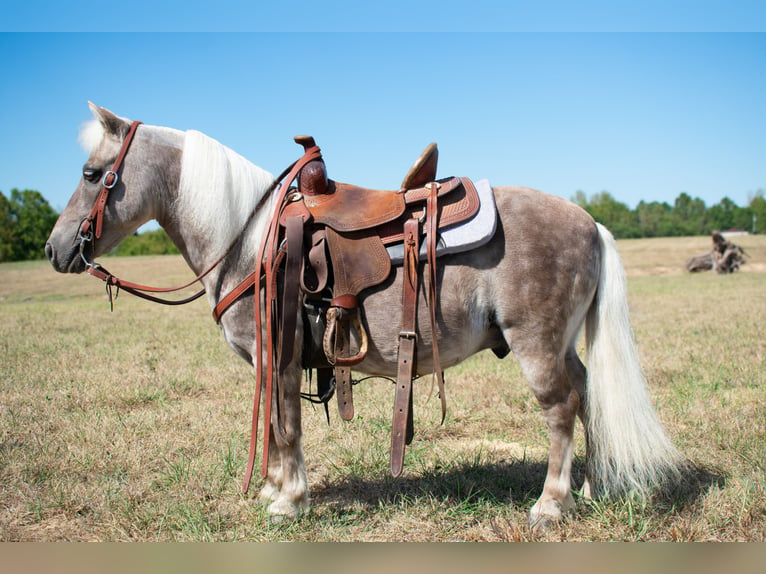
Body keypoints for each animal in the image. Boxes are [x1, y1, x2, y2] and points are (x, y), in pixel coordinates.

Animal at [46, 104, 684, 532]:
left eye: (89, 173)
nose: (56, 249)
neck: (249, 240)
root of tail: (590, 222)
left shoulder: (278, 356)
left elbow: (284, 424)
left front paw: (288, 500)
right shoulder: (274, 361)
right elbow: (276, 425)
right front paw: (275, 491)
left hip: (537, 345)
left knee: (561, 408)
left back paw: (551, 504)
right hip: (563, 344)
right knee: (589, 390)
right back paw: (595, 485)